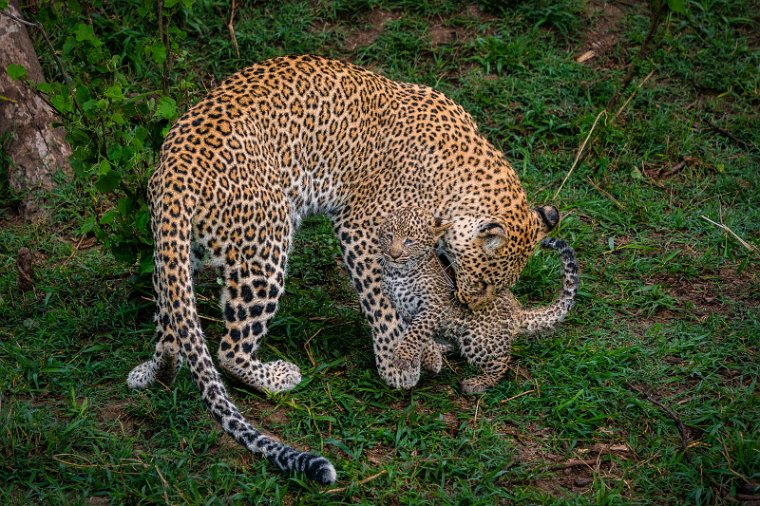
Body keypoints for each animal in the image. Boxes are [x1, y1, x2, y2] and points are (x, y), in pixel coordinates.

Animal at [126, 53, 560, 484]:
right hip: (267, 243)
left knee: (173, 319)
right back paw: (275, 377)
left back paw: (154, 371)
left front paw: (429, 349)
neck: (458, 174)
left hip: (180, 252)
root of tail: (176, 165)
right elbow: (383, 303)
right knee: (228, 350)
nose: (471, 306)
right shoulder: (362, 229)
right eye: (486, 282)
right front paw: (397, 364)